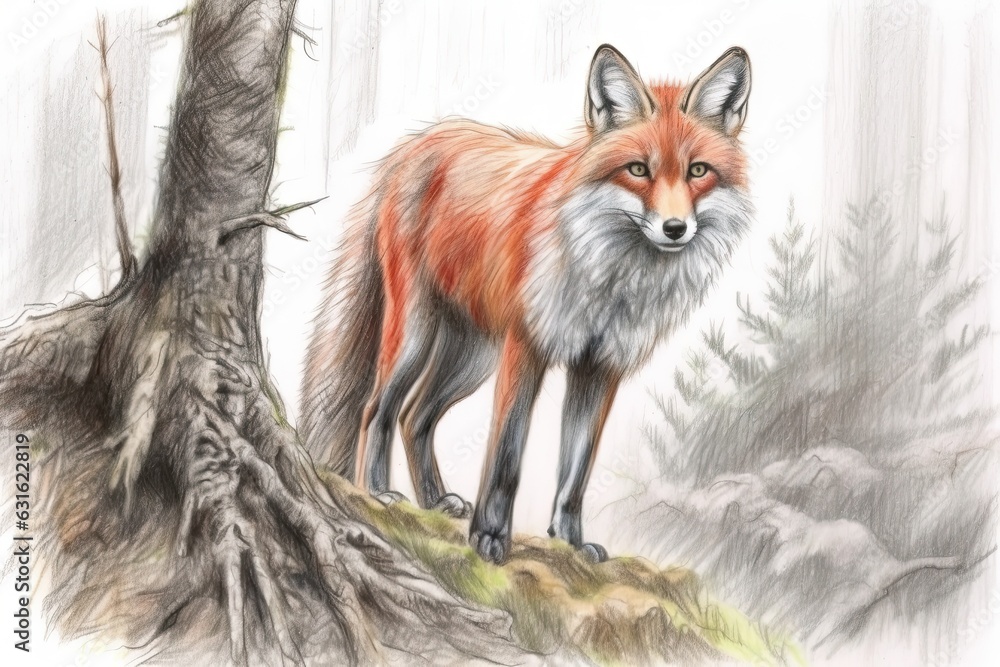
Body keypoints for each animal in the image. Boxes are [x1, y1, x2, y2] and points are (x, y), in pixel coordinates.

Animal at [302, 45, 753, 564]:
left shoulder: (600, 367)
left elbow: (575, 473)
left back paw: (433, 501)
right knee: (378, 408)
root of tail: (419, 142)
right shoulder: (526, 347)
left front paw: (570, 542)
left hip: (472, 358)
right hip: (417, 335)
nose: (676, 229)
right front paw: (490, 538)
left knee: (416, 417)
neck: (611, 281)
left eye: (698, 171)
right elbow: (506, 459)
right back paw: (376, 493)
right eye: (638, 170)